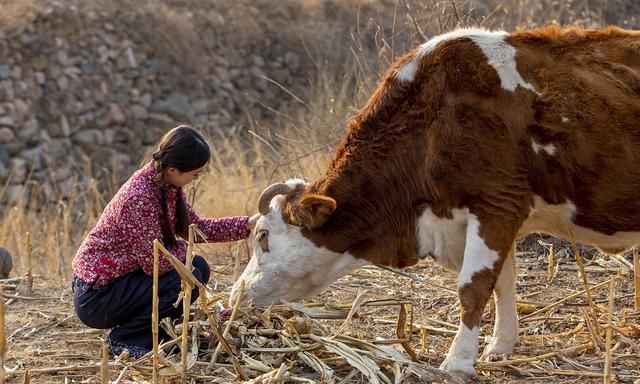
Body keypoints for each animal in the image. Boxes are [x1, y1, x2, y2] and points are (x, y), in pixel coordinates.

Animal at [230, 27, 640, 376]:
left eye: (263, 236)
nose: (236, 295)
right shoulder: (494, 214)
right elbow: (503, 282)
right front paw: (500, 346)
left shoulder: (497, 202)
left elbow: (473, 287)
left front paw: (458, 361)